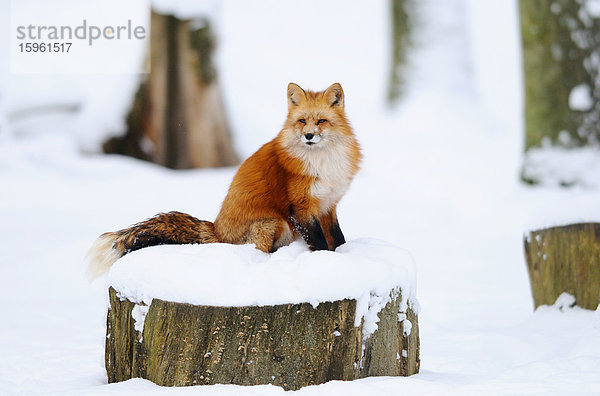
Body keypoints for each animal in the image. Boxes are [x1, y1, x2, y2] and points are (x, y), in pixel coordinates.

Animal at [85, 83, 360, 278]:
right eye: (302, 121)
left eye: (321, 121)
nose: (309, 136)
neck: (322, 162)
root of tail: (217, 231)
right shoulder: (301, 206)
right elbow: (320, 242)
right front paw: (326, 262)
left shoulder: (328, 204)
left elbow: (337, 238)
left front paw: (345, 256)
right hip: (274, 222)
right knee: (255, 250)